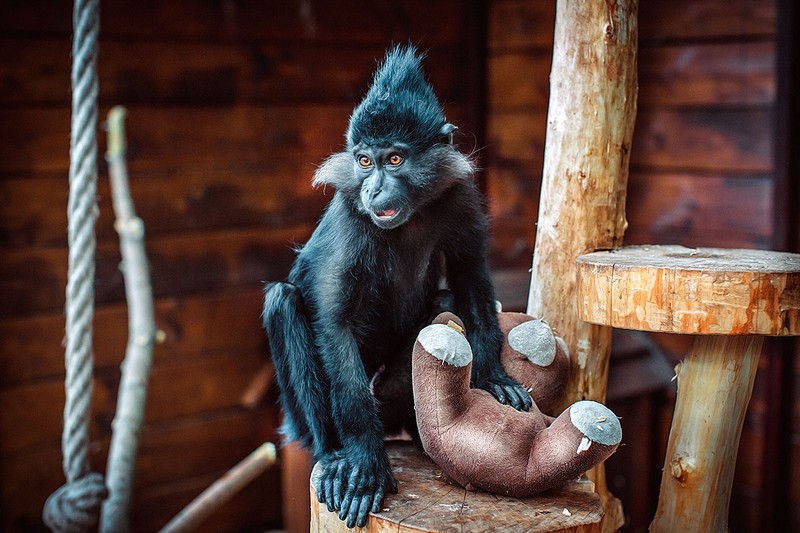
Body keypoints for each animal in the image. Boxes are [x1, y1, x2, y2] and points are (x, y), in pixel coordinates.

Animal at [260, 46, 532, 528]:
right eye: (365, 161)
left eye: (394, 160)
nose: (373, 189)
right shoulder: (352, 216)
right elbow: (335, 323)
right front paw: (366, 463)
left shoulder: (458, 195)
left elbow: (468, 273)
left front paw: (492, 375)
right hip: (300, 415)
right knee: (283, 299)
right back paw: (335, 455)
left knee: (445, 302)